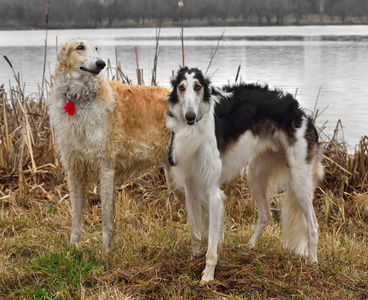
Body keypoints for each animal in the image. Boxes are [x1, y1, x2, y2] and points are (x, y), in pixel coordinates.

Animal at [48, 40, 173, 253]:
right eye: (80, 47)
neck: (81, 100)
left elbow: (106, 216)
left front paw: (105, 252)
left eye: (96, 48)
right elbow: (76, 215)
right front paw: (73, 247)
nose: (101, 64)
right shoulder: (74, 168)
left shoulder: (106, 167)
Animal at [165, 67, 324, 282]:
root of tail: (302, 115)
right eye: (181, 87)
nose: (190, 116)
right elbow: (195, 232)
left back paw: (313, 262)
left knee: (313, 225)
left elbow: (212, 244)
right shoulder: (191, 186)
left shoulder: (213, 193)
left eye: (198, 87)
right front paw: (193, 259)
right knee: (265, 215)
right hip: (255, 174)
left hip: (299, 181)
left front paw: (208, 275)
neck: (197, 127)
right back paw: (250, 245)